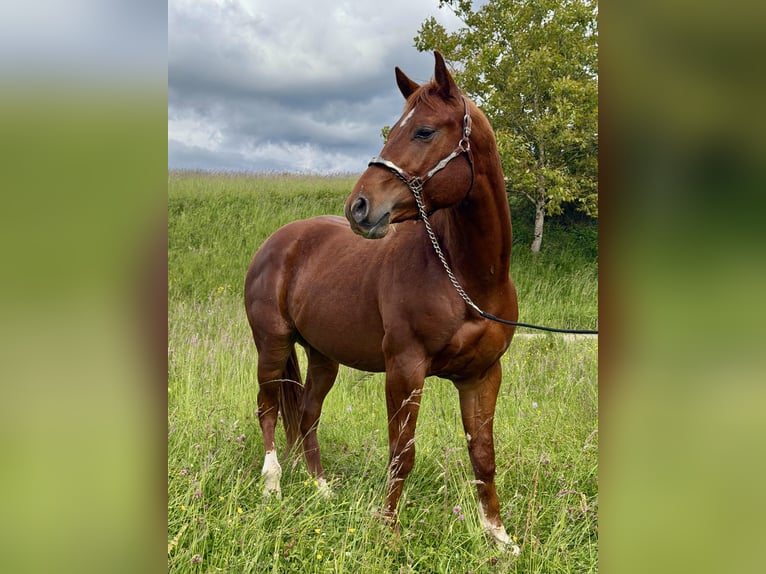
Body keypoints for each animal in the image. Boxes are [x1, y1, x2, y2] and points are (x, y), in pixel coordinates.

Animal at [244, 51, 519, 551]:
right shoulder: (405, 369)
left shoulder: (483, 375)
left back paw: (321, 487)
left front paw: (499, 536)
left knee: (308, 413)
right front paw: (388, 533)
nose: (359, 207)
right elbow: (401, 454)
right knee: (268, 406)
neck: (467, 278)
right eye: (392, 129)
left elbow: (483, 456)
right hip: (271, 346)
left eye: (424, 131)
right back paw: (272, 485)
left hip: (323, 356)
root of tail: (278, 241)